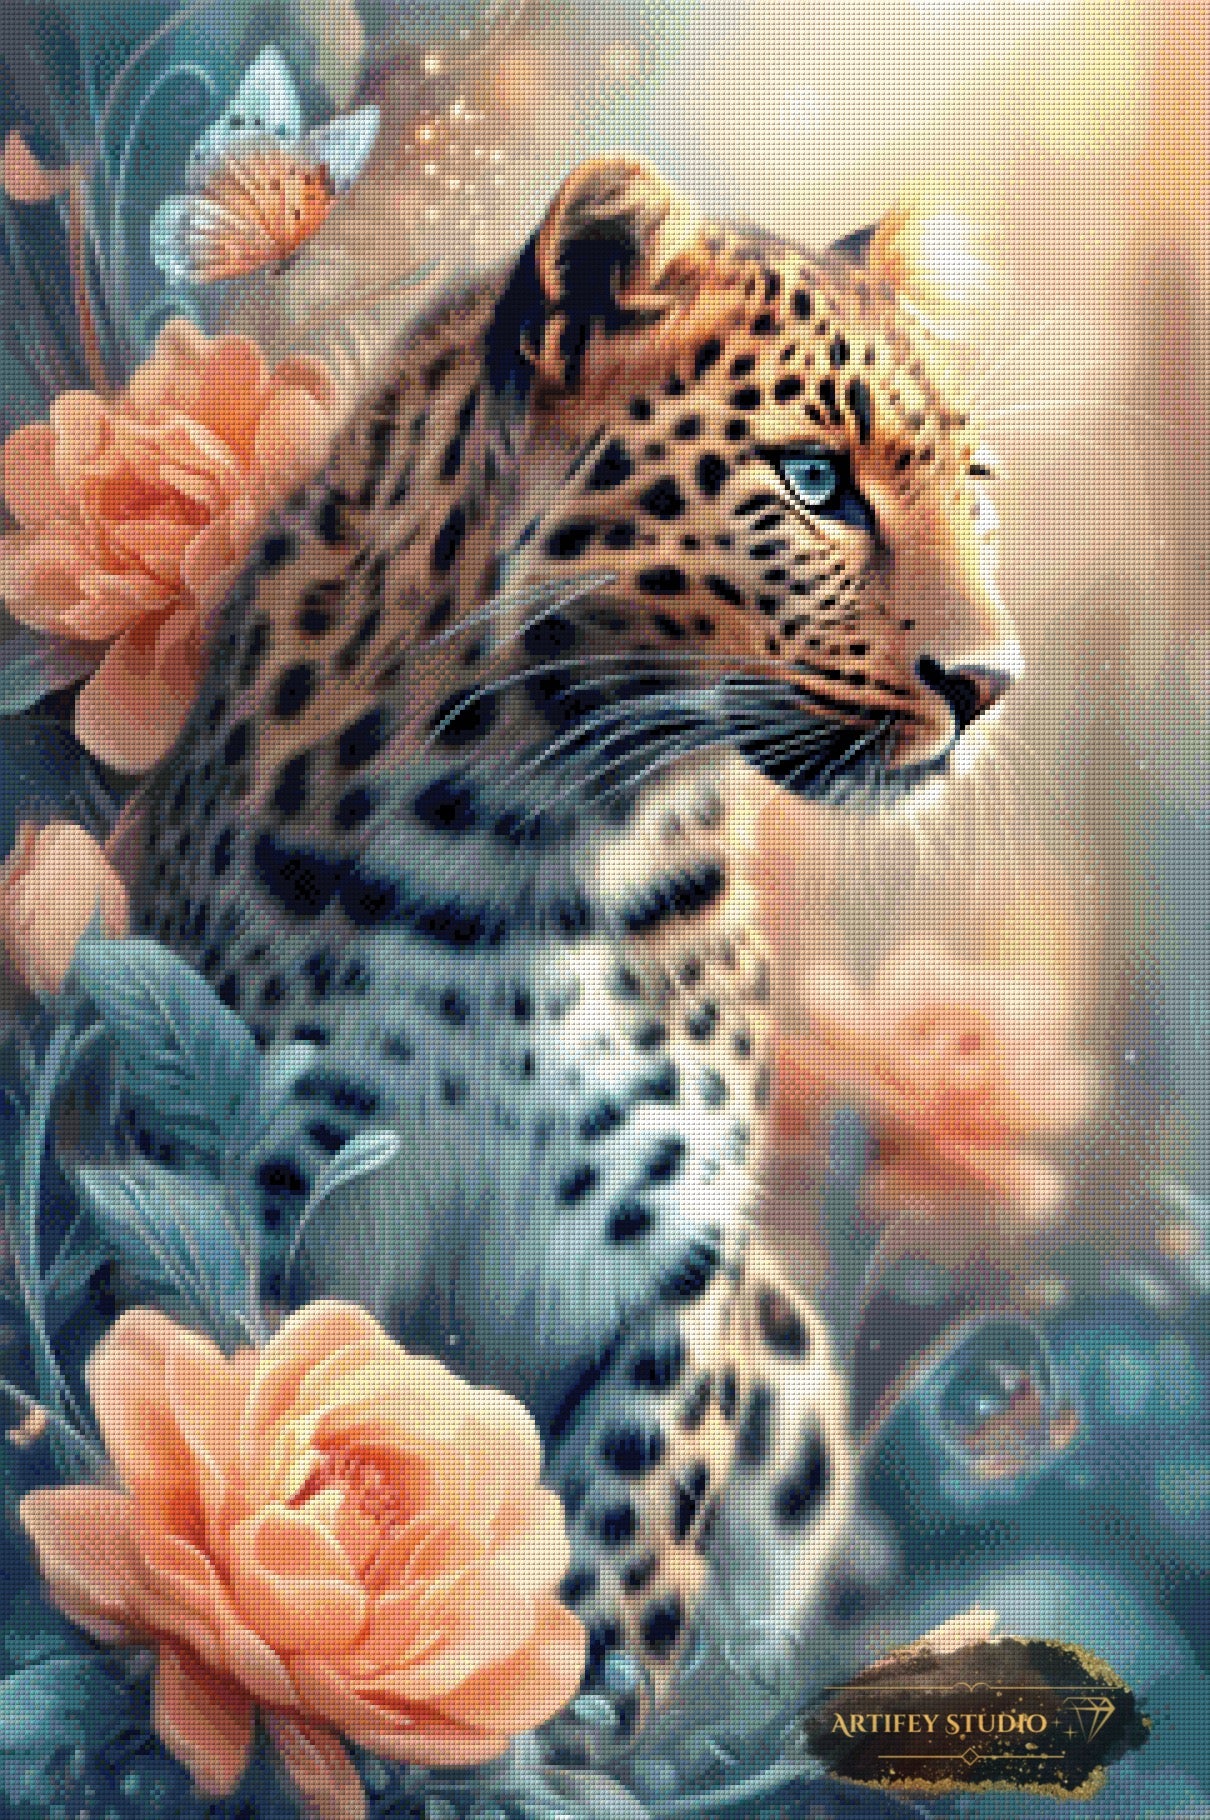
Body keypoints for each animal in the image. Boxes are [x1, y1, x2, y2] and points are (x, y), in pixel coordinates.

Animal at [126, 155, 1019, 1754]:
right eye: (812, 481)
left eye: (971, 491)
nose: (989, 685)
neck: (537, 839)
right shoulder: (248, 1188)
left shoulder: (673, 1263)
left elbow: (622, 1547)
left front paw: (566, 1732)